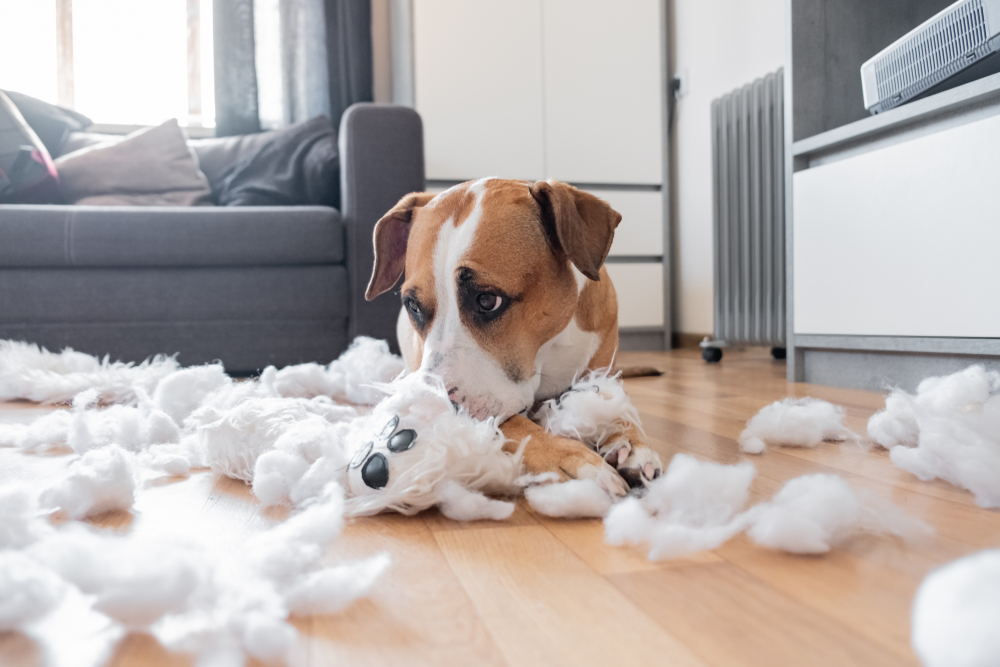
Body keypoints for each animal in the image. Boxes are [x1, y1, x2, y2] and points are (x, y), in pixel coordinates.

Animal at [368, 177, 664, 496]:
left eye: (487, 300)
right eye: (413, 306)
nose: (431, 410)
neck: (548, 352)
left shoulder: (601, 373)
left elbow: (614, 405)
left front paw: (630, 442)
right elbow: (516, 425)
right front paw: (570, 457)